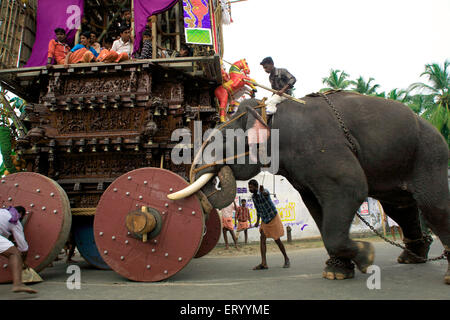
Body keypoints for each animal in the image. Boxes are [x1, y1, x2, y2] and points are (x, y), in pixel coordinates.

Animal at [170, 90, 450, 284]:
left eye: (220, 139)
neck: (269, 113)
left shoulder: (320, 148)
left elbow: (351, 187)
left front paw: (366, 256)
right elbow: (316, 206)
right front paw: (337, 272)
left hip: (430, 154)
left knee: (433, 206)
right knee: (399, 208)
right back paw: (412, 257)